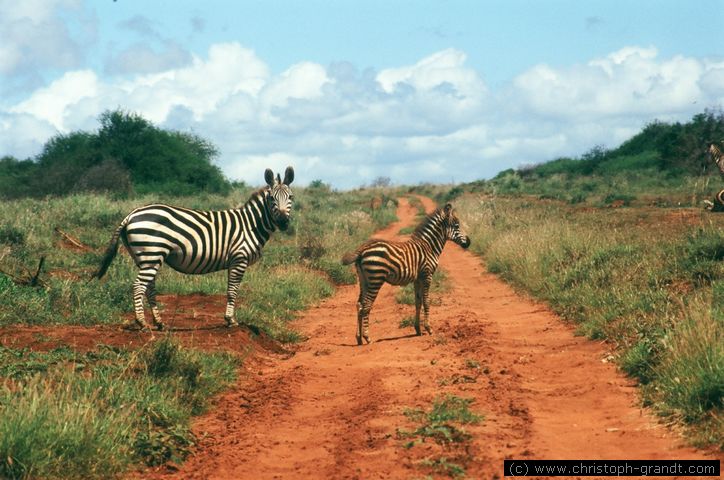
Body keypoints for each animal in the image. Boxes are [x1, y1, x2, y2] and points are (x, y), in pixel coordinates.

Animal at [92, 167, 294, 328]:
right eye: (271, 198)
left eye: (291, 197)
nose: (284, 222)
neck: (251, 224)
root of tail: (131, 214)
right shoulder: (239, 258)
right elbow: (232, 290)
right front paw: (230, 320)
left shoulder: (234, 261)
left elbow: (230, 290)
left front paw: (229, 318)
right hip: (152, 253)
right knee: (138, 286)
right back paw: (142, 323)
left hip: (145, 257)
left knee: (148, 287)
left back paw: (159, 322)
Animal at [344, 202, 472, 344]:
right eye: (457, 226)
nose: (468, 242)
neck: (429, 246)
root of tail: (361, 250)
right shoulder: (427, 275)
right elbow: (427, 301)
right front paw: (428, 328)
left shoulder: (418, 278)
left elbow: (418, 301)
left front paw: (418, 329)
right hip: (375, 278)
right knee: (366, 305)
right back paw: (367, 337)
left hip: (363, 280)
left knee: (359, 305)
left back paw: (359, 338)